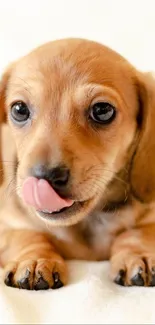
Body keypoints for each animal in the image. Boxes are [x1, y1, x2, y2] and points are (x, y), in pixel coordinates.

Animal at [0, 38, 155, 288]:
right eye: (19, 109)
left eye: (102, 110)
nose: (44, 177)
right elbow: (24, 234)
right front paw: (35, 259)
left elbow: (138, 232)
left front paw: (138, 253)